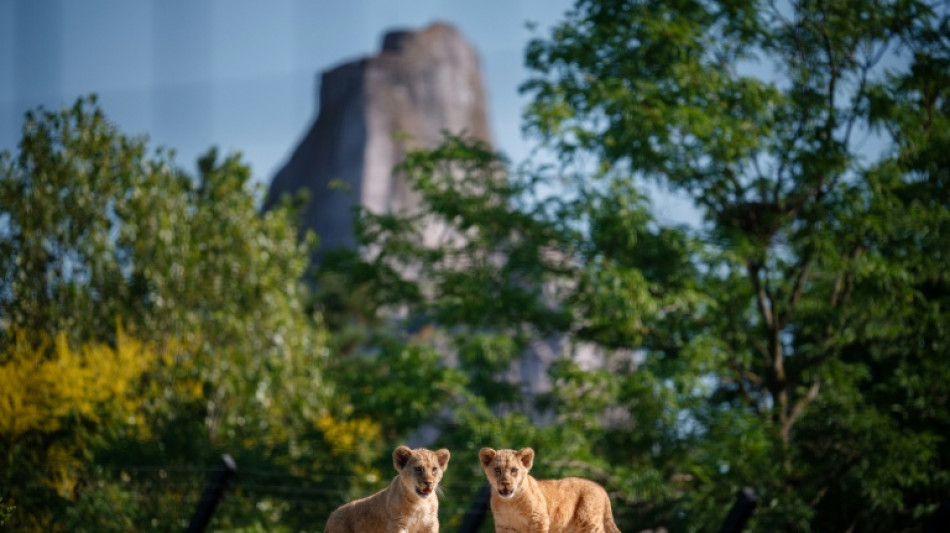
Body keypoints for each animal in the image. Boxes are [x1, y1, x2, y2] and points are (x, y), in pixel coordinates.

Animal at [478, 447, 621, 533]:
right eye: (497, 470)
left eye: (514, 470)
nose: (505, 483)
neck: (509, 502)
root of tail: (600, 487)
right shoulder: (504, 526)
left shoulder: (539, 520)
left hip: (589, 522)